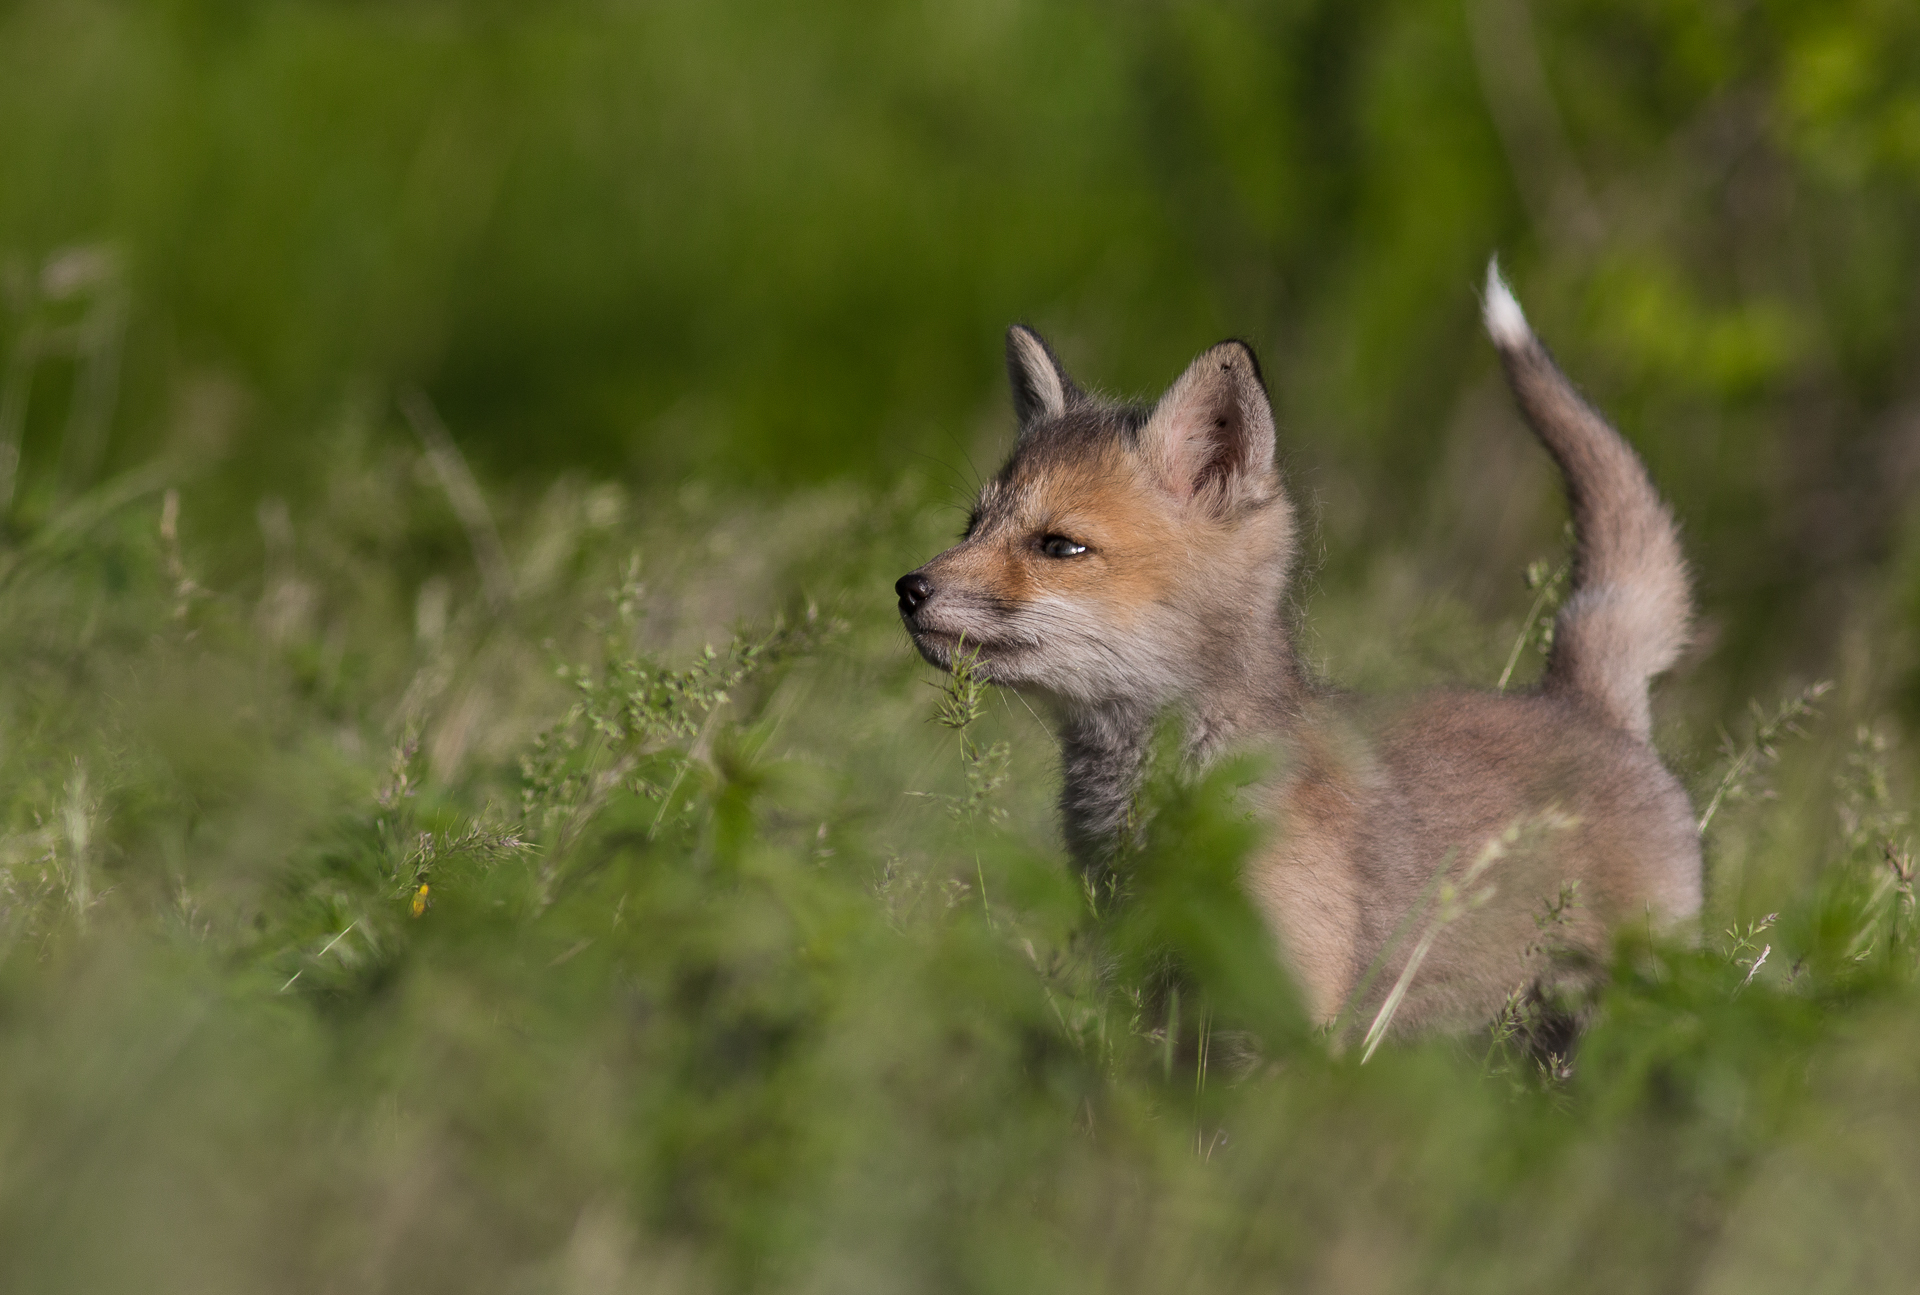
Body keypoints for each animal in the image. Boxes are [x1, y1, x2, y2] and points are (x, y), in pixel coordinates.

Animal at [895, 262, 1701, 1040]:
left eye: (1060, 546)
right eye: (974, 524)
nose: (907, 588)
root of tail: (1579, 698)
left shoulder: (1292, 1008)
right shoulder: (1144, 983)